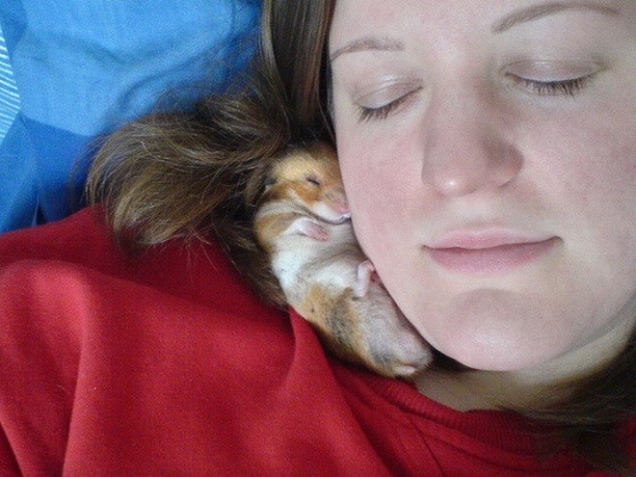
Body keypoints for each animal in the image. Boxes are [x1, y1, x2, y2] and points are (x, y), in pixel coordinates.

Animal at [255, 141, 432, 376]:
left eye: (342, 174)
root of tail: (396, 364)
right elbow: (296, 221)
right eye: (311, 180)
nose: (347, 209)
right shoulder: (267, 221)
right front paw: (321, 234)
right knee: (358, 290)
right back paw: (370, 270)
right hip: (337, 294)